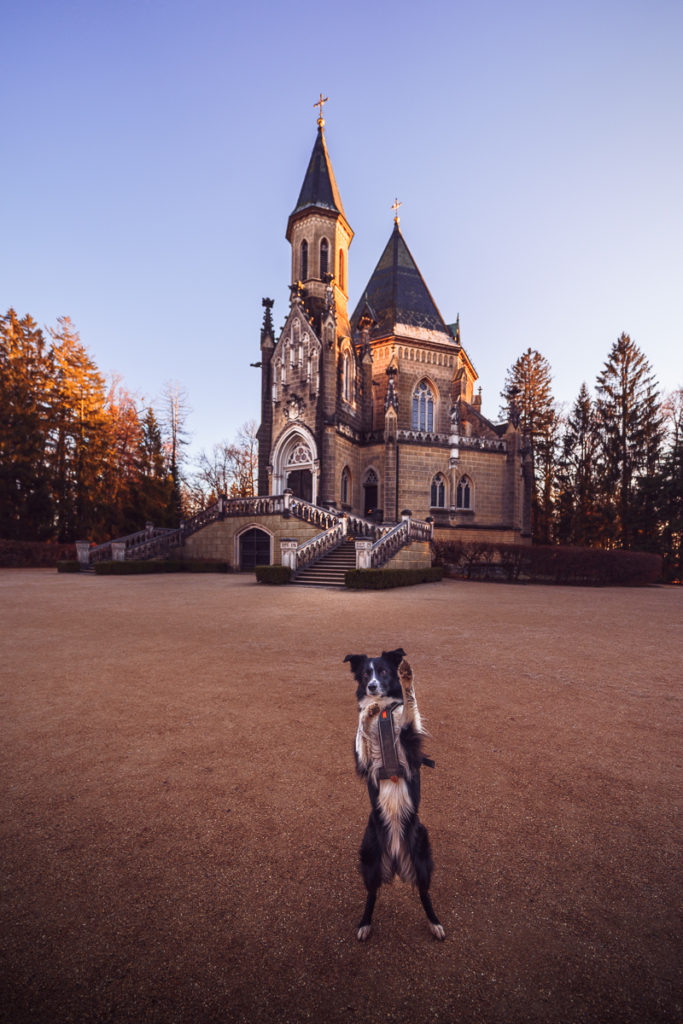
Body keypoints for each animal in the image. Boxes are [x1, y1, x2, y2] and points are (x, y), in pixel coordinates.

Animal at [344, 651, 446, 937]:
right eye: (365, 674)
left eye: (384, 672)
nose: (372, 687)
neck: (384, 716)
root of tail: (398, 857)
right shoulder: (364, 762)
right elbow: (361, 728)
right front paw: (367, 710)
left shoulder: (410, 740)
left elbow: (411, 702)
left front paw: (407, 675)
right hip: (369, 855)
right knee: (372, 894)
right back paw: (364, 924)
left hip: (422, 853)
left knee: (424, 893)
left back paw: (435, 923)